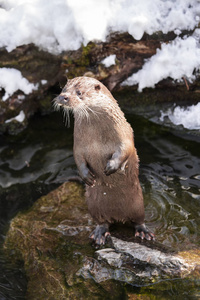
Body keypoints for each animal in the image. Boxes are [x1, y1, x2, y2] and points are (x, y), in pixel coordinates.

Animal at [53, 76, 155, 245]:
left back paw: (143, 231)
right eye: (63, 90)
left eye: (79, 92)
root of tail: (119, 217)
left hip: (138, 204)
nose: (63, 97)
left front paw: (111, 166)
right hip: (94, 206)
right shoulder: (78, 144)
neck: (97, 138)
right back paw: (100, 233)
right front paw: (87, 176)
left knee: (138, 220)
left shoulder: (124, 133)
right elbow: (78, 157)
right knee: (103, 221)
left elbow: (126, 148)